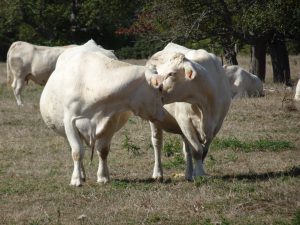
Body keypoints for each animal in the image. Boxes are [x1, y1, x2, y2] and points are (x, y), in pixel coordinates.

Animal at [39, 40, 166, 186]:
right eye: (159, 88)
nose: (164, 115)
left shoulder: (110, 122)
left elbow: (103, 151)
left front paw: (103, 176)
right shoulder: (70, 122)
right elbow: (77, 152)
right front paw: (76, 179)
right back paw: (81, 174)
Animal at [146, 44, 231, 180]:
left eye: (171, 73)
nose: (153, 86)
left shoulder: (217, 125)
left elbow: (203, 151)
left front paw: (197, 172)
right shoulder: (185, 121)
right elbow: (197, 150)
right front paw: (200, 174)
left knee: (186, 150)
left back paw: (188, 174)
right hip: (154, 120)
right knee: (157, 143)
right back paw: (158, 174)